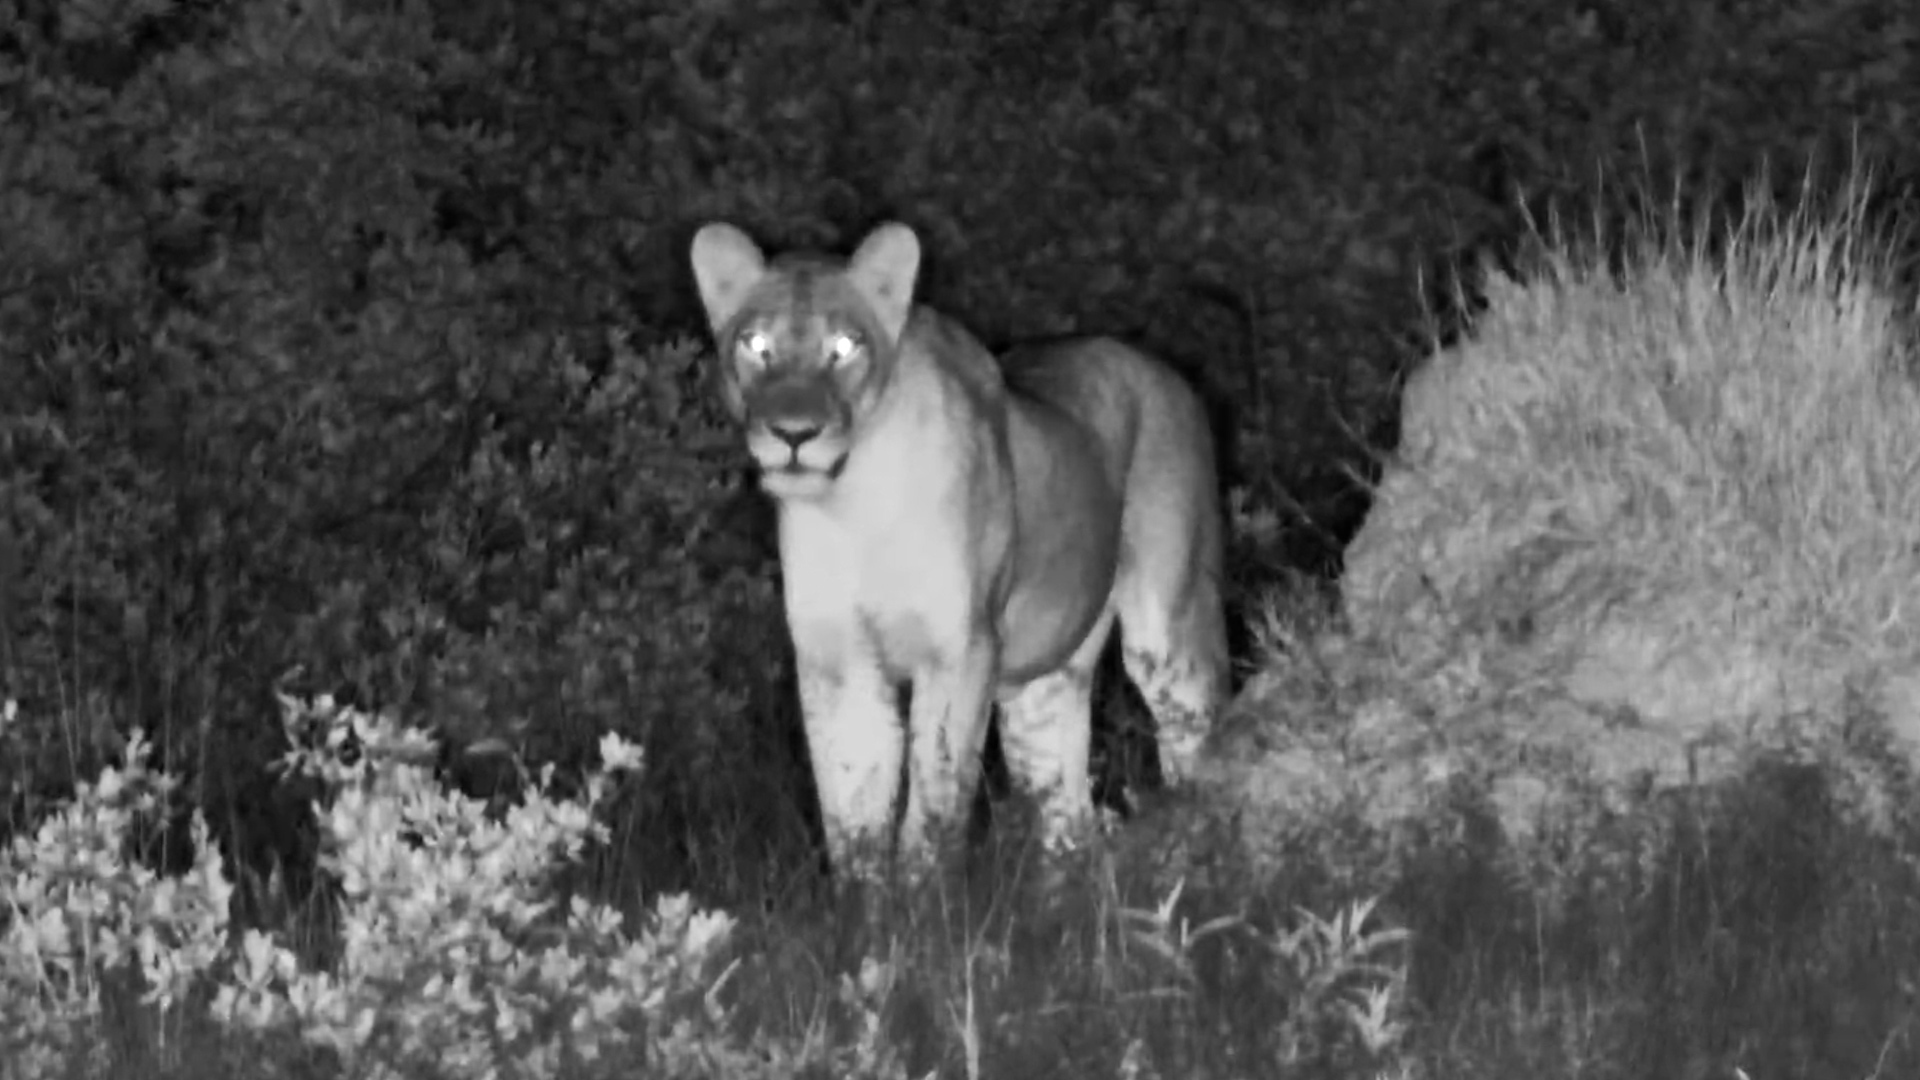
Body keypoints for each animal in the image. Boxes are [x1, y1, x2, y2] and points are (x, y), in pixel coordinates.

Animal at [688, 220, 1228, 883]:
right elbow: (850, 805)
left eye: (844, 346)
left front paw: (925, 897)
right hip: (1043, 687)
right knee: (1066, 805)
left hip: (1171, 626)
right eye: (756, 344)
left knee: (1195, 729)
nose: (794, 434)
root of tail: (1166, 369)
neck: (852, 507)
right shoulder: (837, 660)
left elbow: (936, 795)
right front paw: (865, 902)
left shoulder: (961, 648)